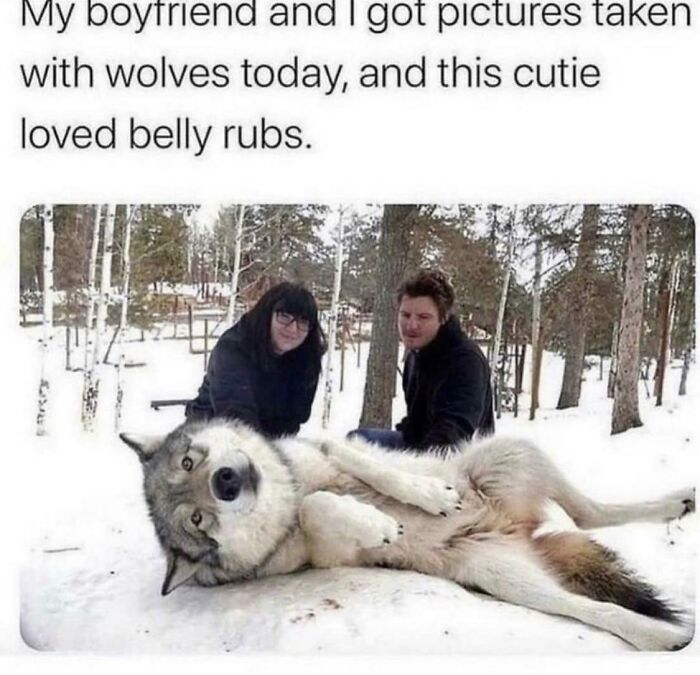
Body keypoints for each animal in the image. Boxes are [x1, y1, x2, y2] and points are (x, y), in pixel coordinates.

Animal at [121, 419, 695, 651]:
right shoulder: (326, 549)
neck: (284, 489)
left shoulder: (328, 446)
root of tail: (517, 528)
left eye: (189, 461)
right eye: (196, 521)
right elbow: (316, 507)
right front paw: (379, 524)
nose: (227, 482)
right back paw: (664, 637)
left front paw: (429, 496)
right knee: (592, 601)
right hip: (506, 580)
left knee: (590, 513)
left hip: (514, 451)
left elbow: (362, 466)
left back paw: (678, 503)